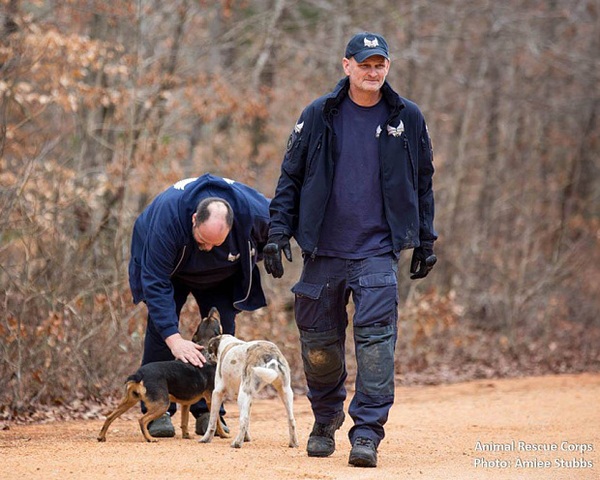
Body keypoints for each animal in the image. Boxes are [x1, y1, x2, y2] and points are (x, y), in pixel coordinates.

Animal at [97, 308, 229, 442]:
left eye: (206, 319)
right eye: (214, 319)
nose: (213, 308)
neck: (205, 351)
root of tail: (139, 374)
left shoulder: (185, 403)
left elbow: (184, 421)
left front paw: (186, 436)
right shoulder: (212, 399)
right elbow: (216, 421)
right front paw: (223, 435)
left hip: (130, 400)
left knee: (110, 416)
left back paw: (101, 436)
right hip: (162, 404)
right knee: (142, 420)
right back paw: (150, 438)